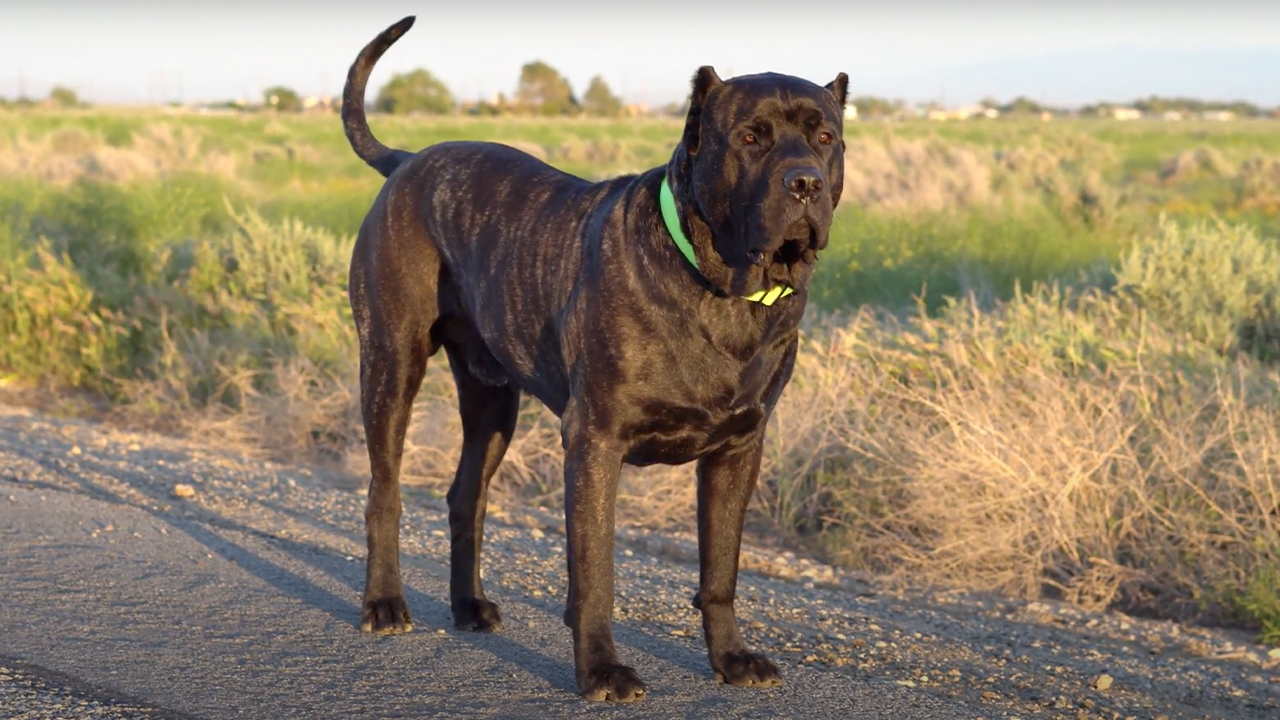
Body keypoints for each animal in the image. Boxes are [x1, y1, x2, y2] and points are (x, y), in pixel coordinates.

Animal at [340, 16, 844, 702]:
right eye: (749, 138)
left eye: (825, 138)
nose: (805, 182)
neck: (725, 288)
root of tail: (409, 161)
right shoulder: (595, 441)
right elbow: (595, 571)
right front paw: (602, 669)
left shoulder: (738, 448)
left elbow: (721, 570)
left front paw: (732, 658)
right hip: (392, 365)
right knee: (384, 491)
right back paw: (385, 603)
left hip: (492, 401)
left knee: (466, 495)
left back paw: (469, 606)